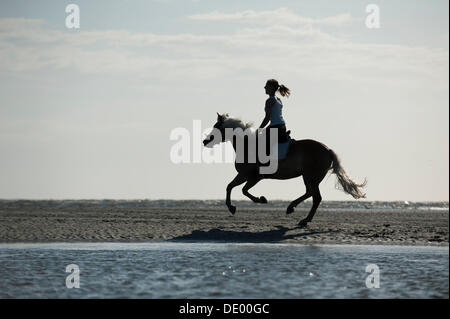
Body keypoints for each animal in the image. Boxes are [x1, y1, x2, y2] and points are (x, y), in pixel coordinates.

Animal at [202, 113, 368, 228]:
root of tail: (327, 150)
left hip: (311, 177)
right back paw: (293, 210)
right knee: (311, 194)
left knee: (316, 197)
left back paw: (301, 217)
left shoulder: (250, 176)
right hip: (308, 177)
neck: (247, 146)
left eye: (217, 127)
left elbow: (238, 189)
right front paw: (243, 204)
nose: (205, 141)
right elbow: (233, 187)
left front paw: (247, 203)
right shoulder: (248, 177)